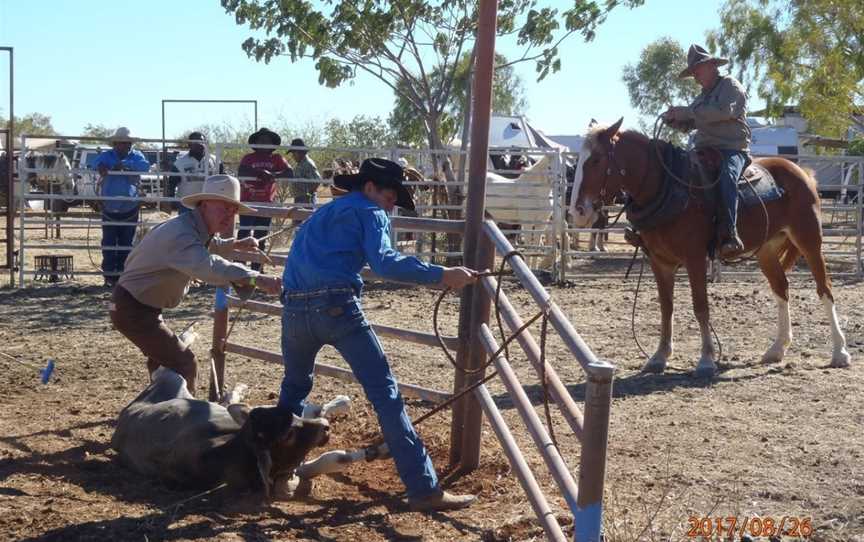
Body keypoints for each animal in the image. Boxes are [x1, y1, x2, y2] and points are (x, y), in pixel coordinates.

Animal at [572, 118, 848, 378]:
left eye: (596, 159)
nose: (579, 212)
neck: (670, 188)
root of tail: (803, 172)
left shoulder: (694, 257)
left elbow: (700, 306)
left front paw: (706, 360)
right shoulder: (659, 261)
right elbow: (666, 308)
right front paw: (659, 357)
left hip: (809, 240)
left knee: (824, 289)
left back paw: (840, 352)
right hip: (767, 251)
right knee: (781, 289)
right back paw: (777, 349)